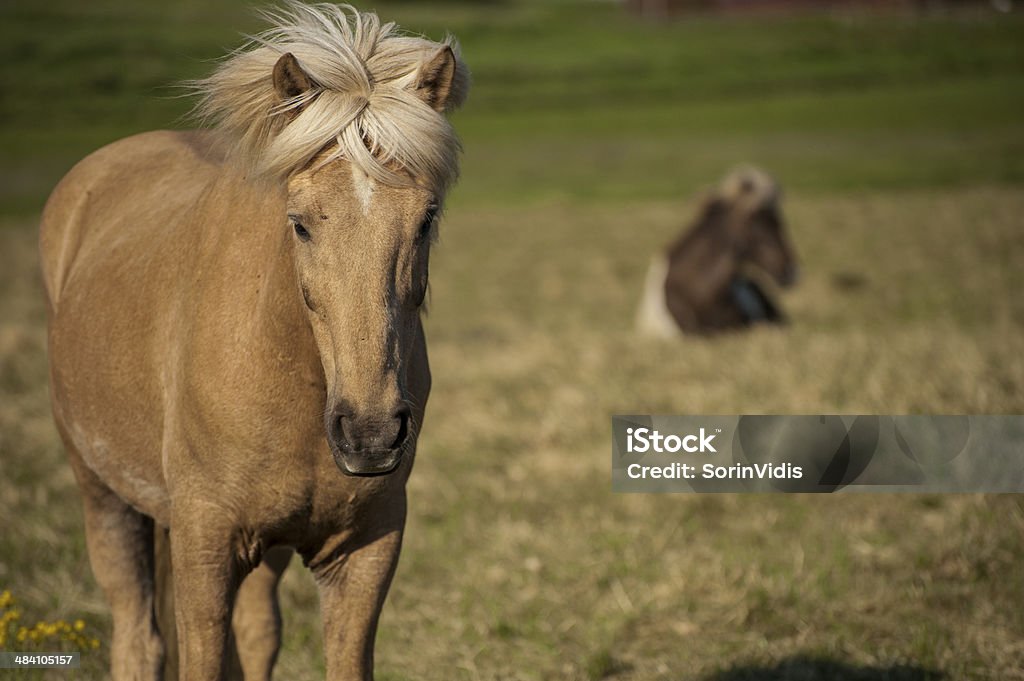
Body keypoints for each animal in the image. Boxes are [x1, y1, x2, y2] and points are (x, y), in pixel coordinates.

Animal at [38, 2, 468, 675]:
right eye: (300, 224)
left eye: (426, 220)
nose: (371, 434)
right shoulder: (205, 546)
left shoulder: (365, 551)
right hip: (103, 495)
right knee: (137, 636)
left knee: (257, 630)